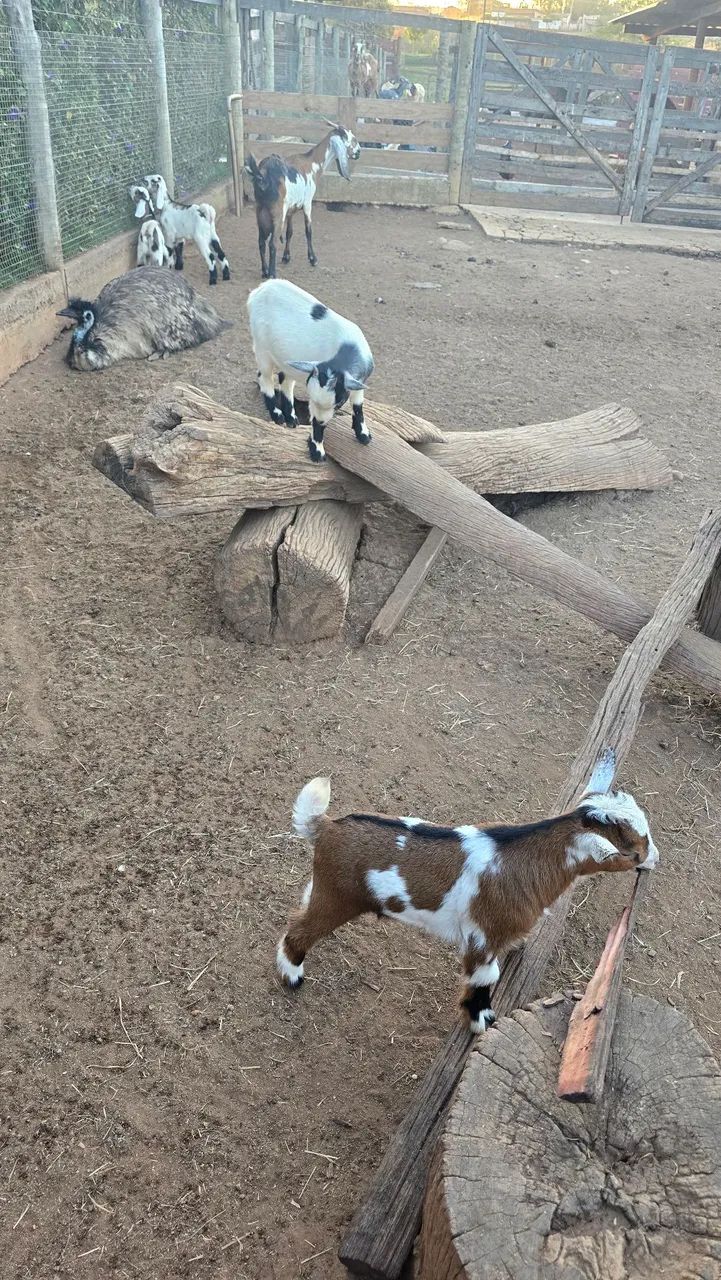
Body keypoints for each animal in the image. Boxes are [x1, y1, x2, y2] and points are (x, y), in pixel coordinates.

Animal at [244, 122, 360, 280]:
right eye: (352, 138)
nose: (359, 152)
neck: (313, 163)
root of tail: (262, 175)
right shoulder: (307, 204)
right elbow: (308, 231)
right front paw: (313, 259)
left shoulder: (290, 210)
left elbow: (290, 232)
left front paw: (286, 257)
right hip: (277, 212)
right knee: (272, 243)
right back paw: (273, 274)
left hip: (260, 211)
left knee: (261, 242)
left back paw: (265, 271)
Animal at [247, 278, 374, 462]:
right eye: (310, 398)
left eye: (339, 403)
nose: (320, 421)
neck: (344, 350)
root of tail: (261, 288)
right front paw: (317, 451)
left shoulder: (358, 382)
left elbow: (358, 405)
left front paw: (363, 435)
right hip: (261, 345)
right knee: (264, 377)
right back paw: (278, 415)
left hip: (287, 357)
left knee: (285, 380)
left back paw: (291, 418)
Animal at [276, 754, 659, 1032]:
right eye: (632, 851)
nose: (655, 858)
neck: (521, 860)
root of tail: (325, 827)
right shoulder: (483, 937)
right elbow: (484, 979)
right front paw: (480, 1020)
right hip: (337, 897)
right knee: (300, 931)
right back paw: (292, 976)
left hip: (322, 889)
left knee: (299, 912)